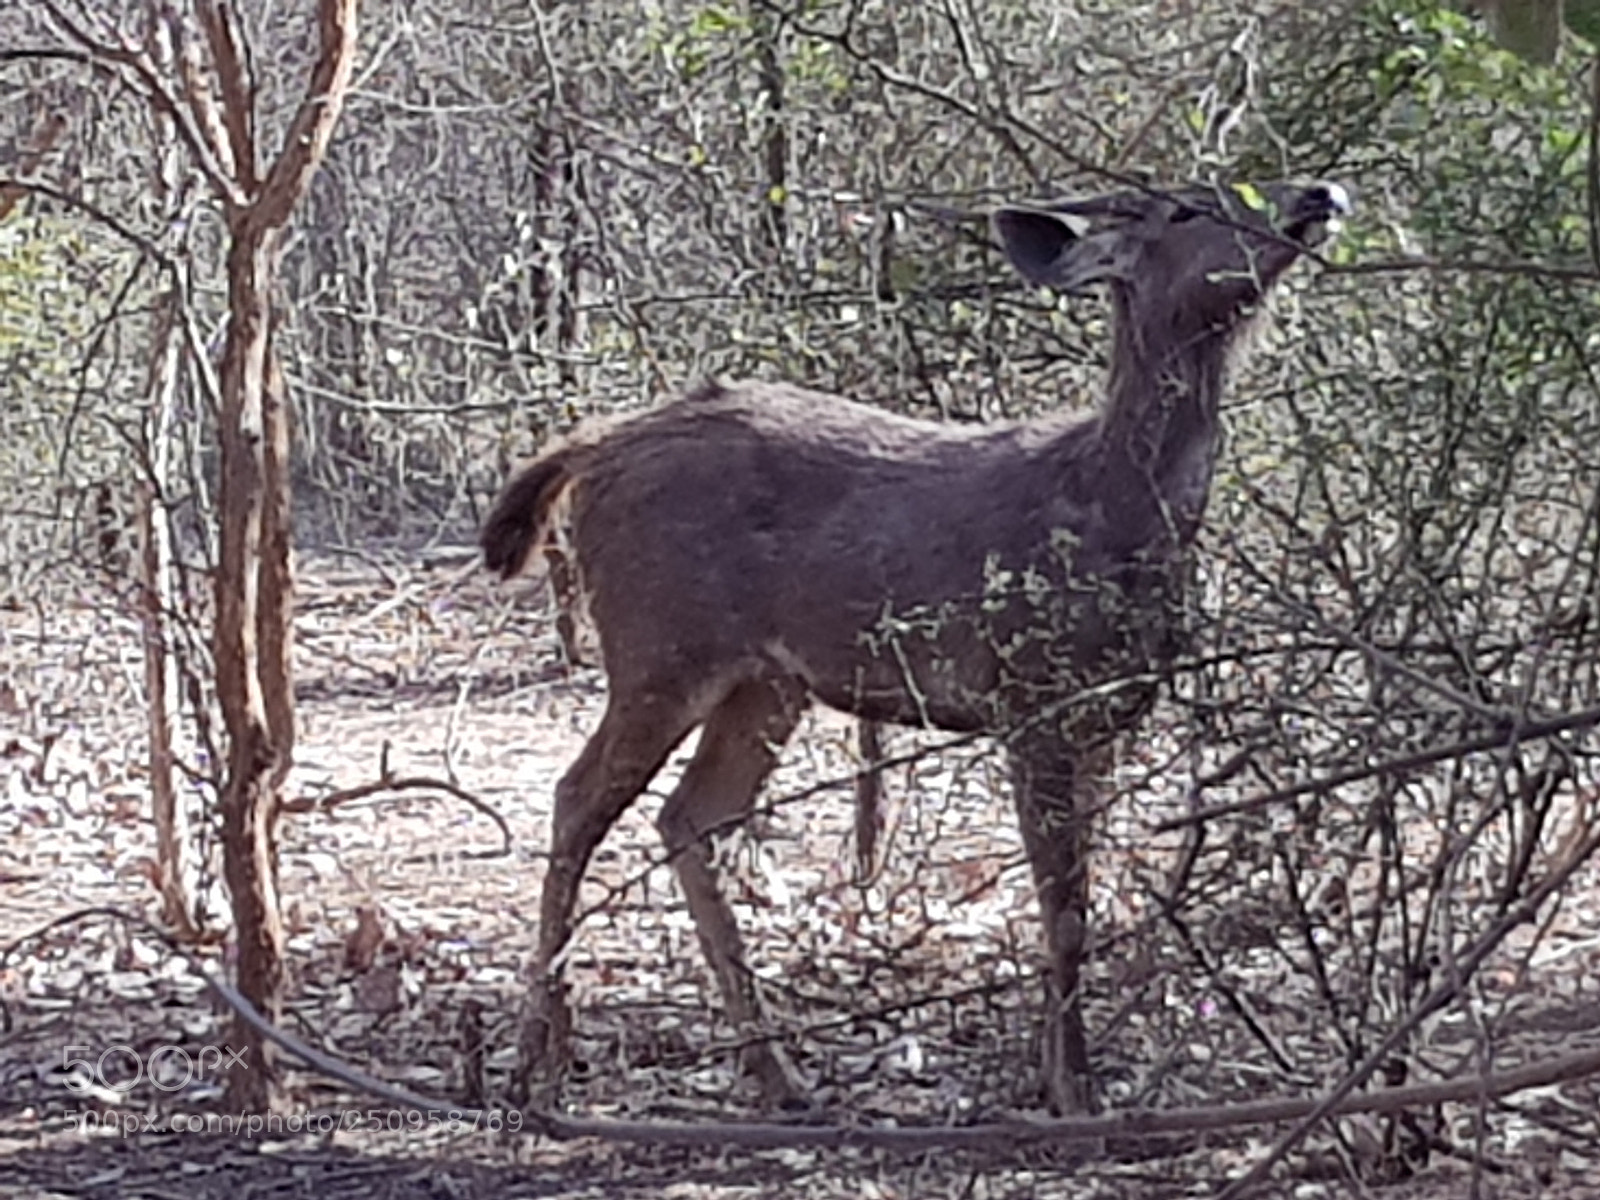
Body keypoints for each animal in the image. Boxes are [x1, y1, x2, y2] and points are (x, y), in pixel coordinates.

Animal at [480, 178, 1350, 1114]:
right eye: (1189, 209)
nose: (1319, 192)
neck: (1112, 507)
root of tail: (595, 446)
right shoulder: (1030, 697)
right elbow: (1062, 908)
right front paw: (1072, 1093)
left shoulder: (1106, 717)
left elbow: (1082, 900)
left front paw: (1056, 1073)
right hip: (660, 645)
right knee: (579, 799)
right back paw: (534, 1061)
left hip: (766, 682)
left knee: (691, 816)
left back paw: (778, 1074)